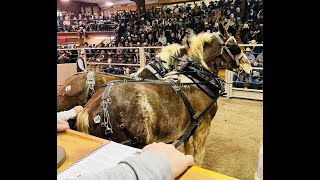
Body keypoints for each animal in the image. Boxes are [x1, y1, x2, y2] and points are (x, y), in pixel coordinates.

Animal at [75, 23, 252, 165]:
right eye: (235, 47)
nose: (249, 68)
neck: (197, 79)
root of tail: (89, 108)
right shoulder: (203, 127)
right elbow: (198, 158)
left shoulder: (188, 130)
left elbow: (189, 153)